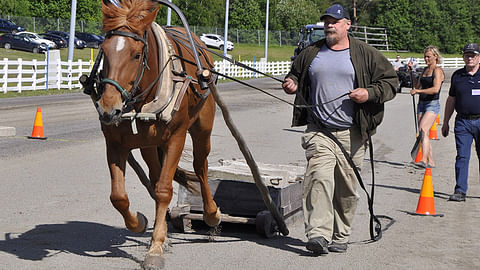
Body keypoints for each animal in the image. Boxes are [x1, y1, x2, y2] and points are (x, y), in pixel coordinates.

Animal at [89, 1, 220, 268]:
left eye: (136, 54)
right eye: (104, 51)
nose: (108, 108)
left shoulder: (176, 139)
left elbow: (163, 190)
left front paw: (156, 248)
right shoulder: (115, 143)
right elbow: (118, 196)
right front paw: (139, 222)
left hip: (202, 128)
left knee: (200, 166)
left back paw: (211, 214)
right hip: (149, 145)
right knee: (155, 174)